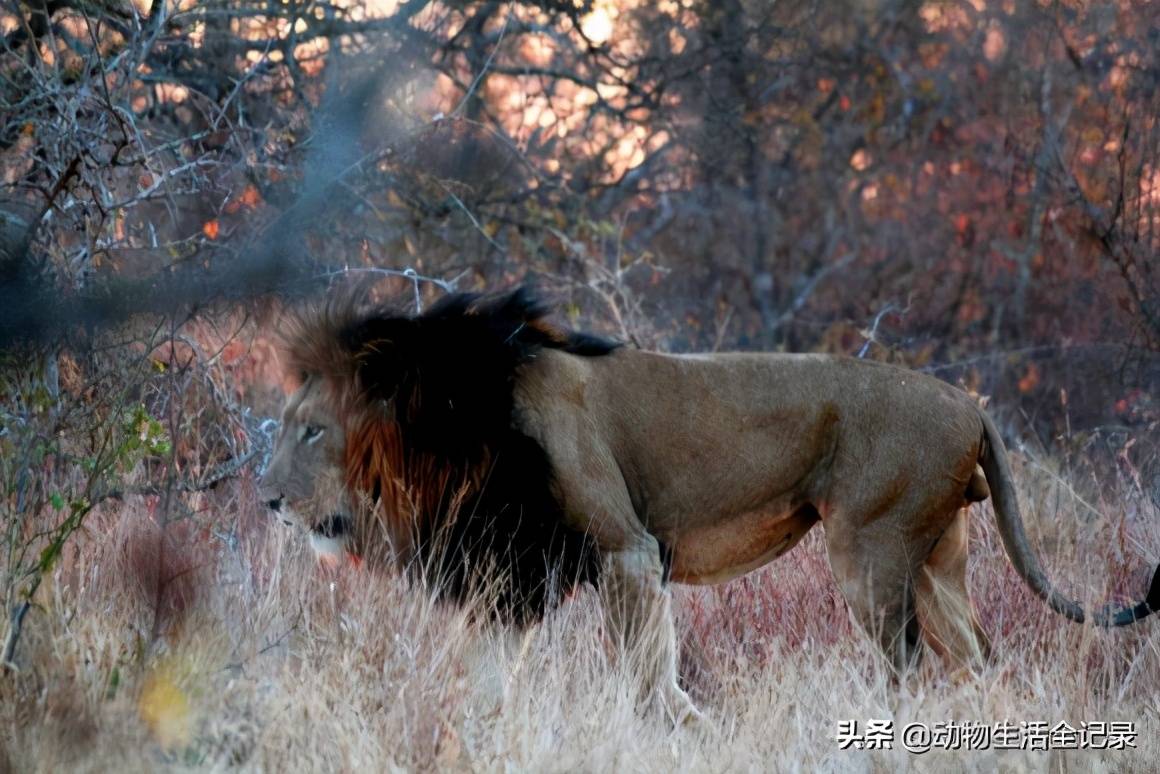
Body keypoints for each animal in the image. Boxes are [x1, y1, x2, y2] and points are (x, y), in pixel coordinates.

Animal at [261, 287, 1160, 724]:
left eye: (312, 430)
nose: (266, 500)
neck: (451, 433)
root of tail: (970, 403)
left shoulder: (626, 550)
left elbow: (645, 668)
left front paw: (678, 729)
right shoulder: (507, 570)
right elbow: (489, 674)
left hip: (869, 552)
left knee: (906, 668)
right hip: (939, 560)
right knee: (976, 659)